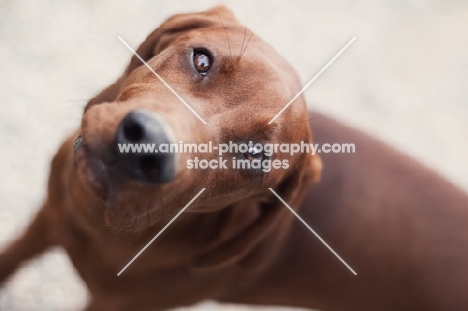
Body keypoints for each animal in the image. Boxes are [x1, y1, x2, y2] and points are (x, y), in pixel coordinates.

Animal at [0, 5, 468, 311]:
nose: (146, 146)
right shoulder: (48, 216)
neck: (99, 224)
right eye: (201, 59)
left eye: (254, 156)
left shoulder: (118, 304)